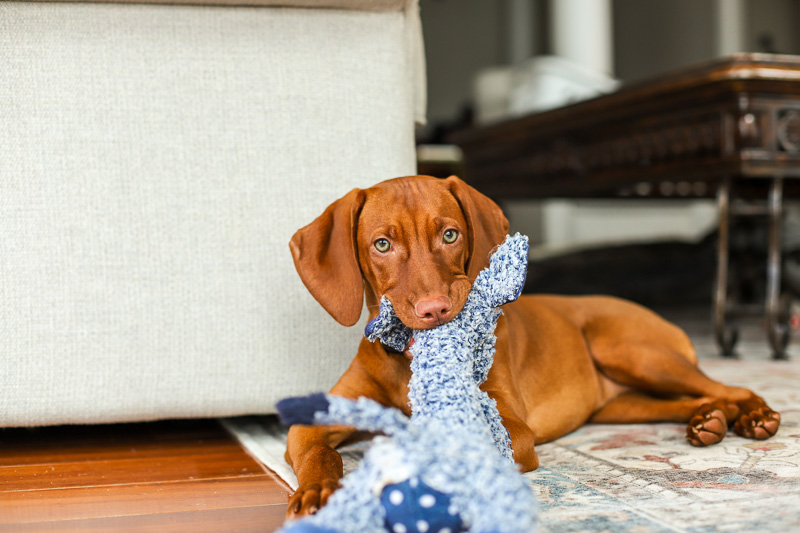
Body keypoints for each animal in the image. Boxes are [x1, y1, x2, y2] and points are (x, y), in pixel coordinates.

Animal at [284, 175, 780, 516]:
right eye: (382, 244)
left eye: (450, 235)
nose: (435, 310)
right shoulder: (313, 423)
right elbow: (315, 451)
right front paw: (316, 492)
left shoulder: (509, 427)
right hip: (620, 405)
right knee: (693, 400)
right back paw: (709, 421)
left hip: (634, 353)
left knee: (729, 388)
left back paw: (753, 416)